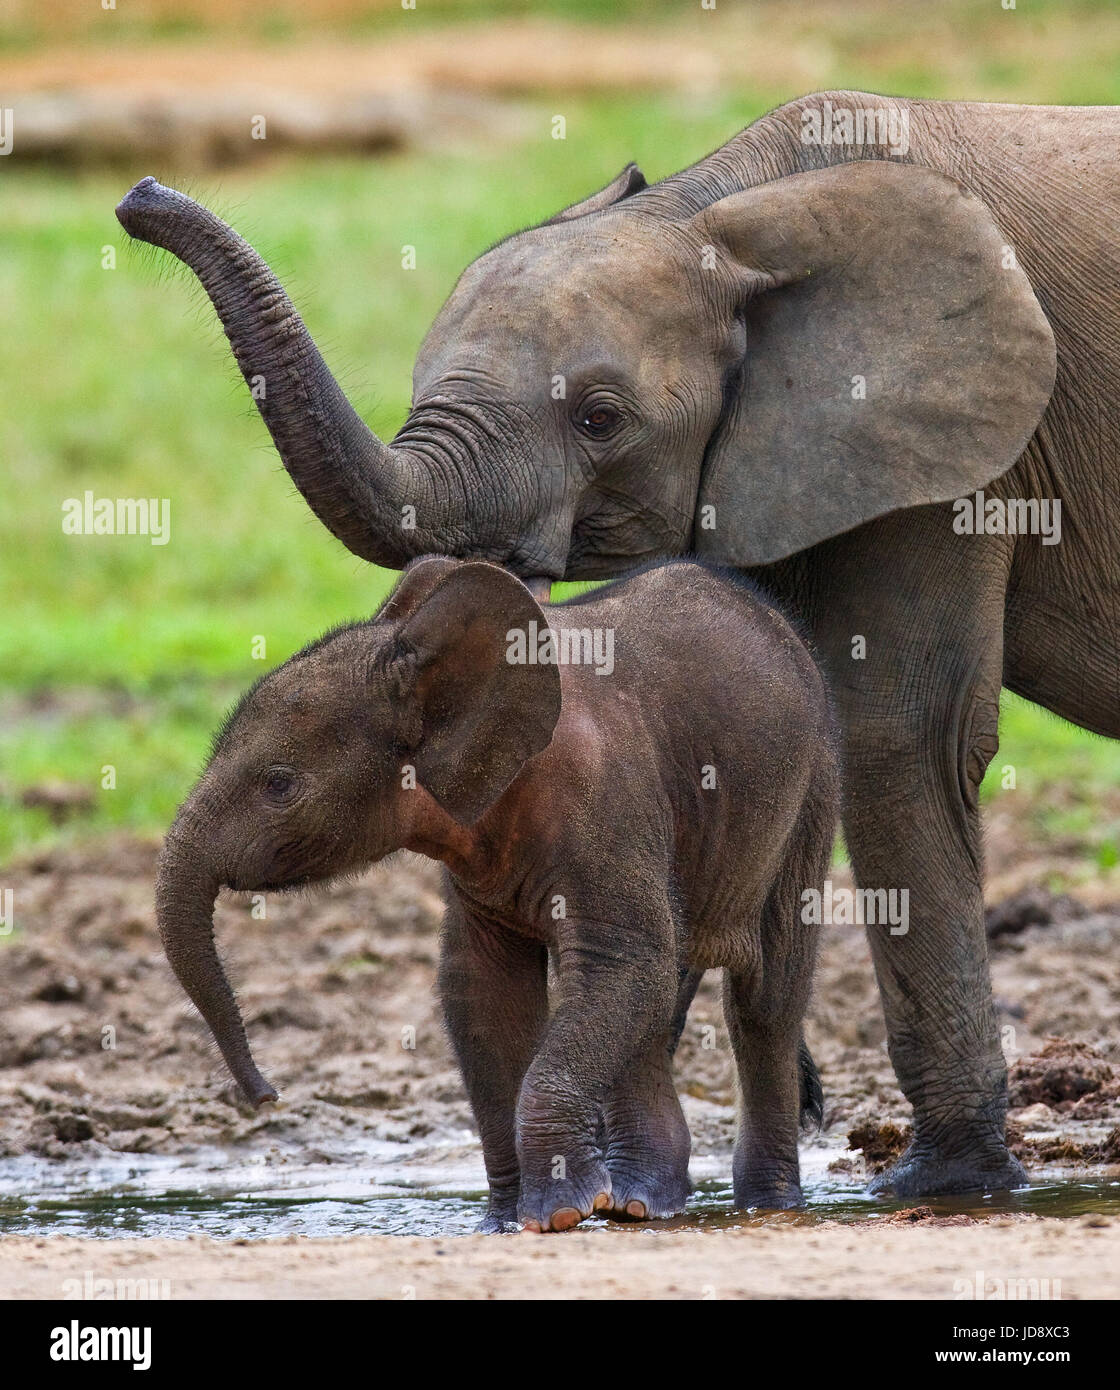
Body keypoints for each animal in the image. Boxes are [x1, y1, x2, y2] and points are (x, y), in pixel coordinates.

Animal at [155, 556, 838, 1231]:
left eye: (279, 784)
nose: (266, 1097)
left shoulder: (609, 807)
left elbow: (623, 965)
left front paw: (555, 1216)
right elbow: (484, 990)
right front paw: (508, 1224)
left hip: (811, 796)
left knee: (762, 1002)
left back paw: (764, 1207)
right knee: (660, 1002)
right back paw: (643, 1206)